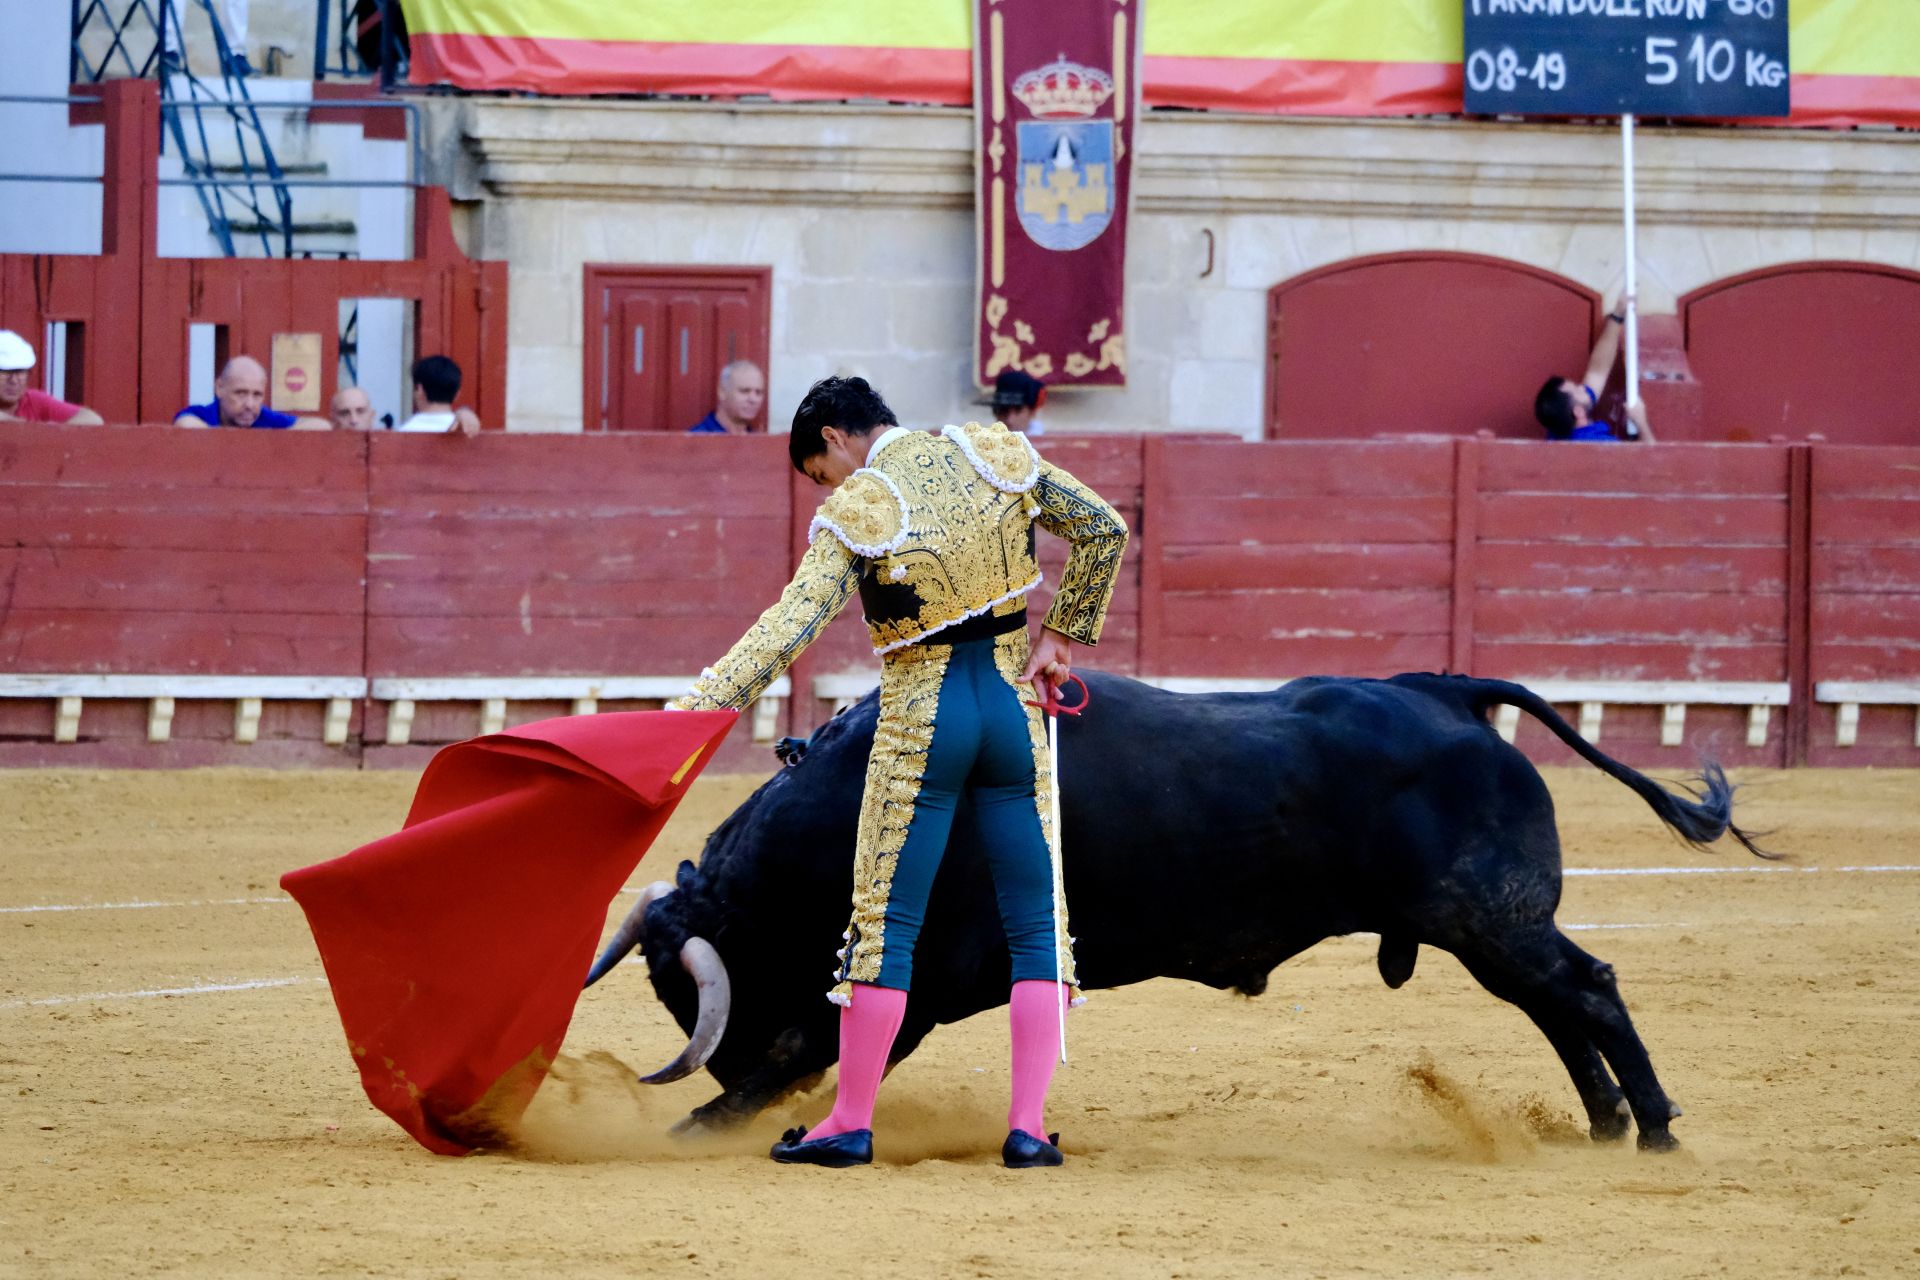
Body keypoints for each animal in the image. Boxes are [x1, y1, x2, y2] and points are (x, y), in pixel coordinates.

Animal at [587, 671, 1766, 1151]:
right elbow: (817, 1042)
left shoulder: (925, 976)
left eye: (697, 992)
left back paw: (1653, 1128)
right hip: (1487, 931)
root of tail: (1446, 693)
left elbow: (810, 1040)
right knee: (1561, 1006)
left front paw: (692, 1128)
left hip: (1493, 919)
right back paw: (1607, 1124)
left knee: (1586, 990)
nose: (720, 1071)